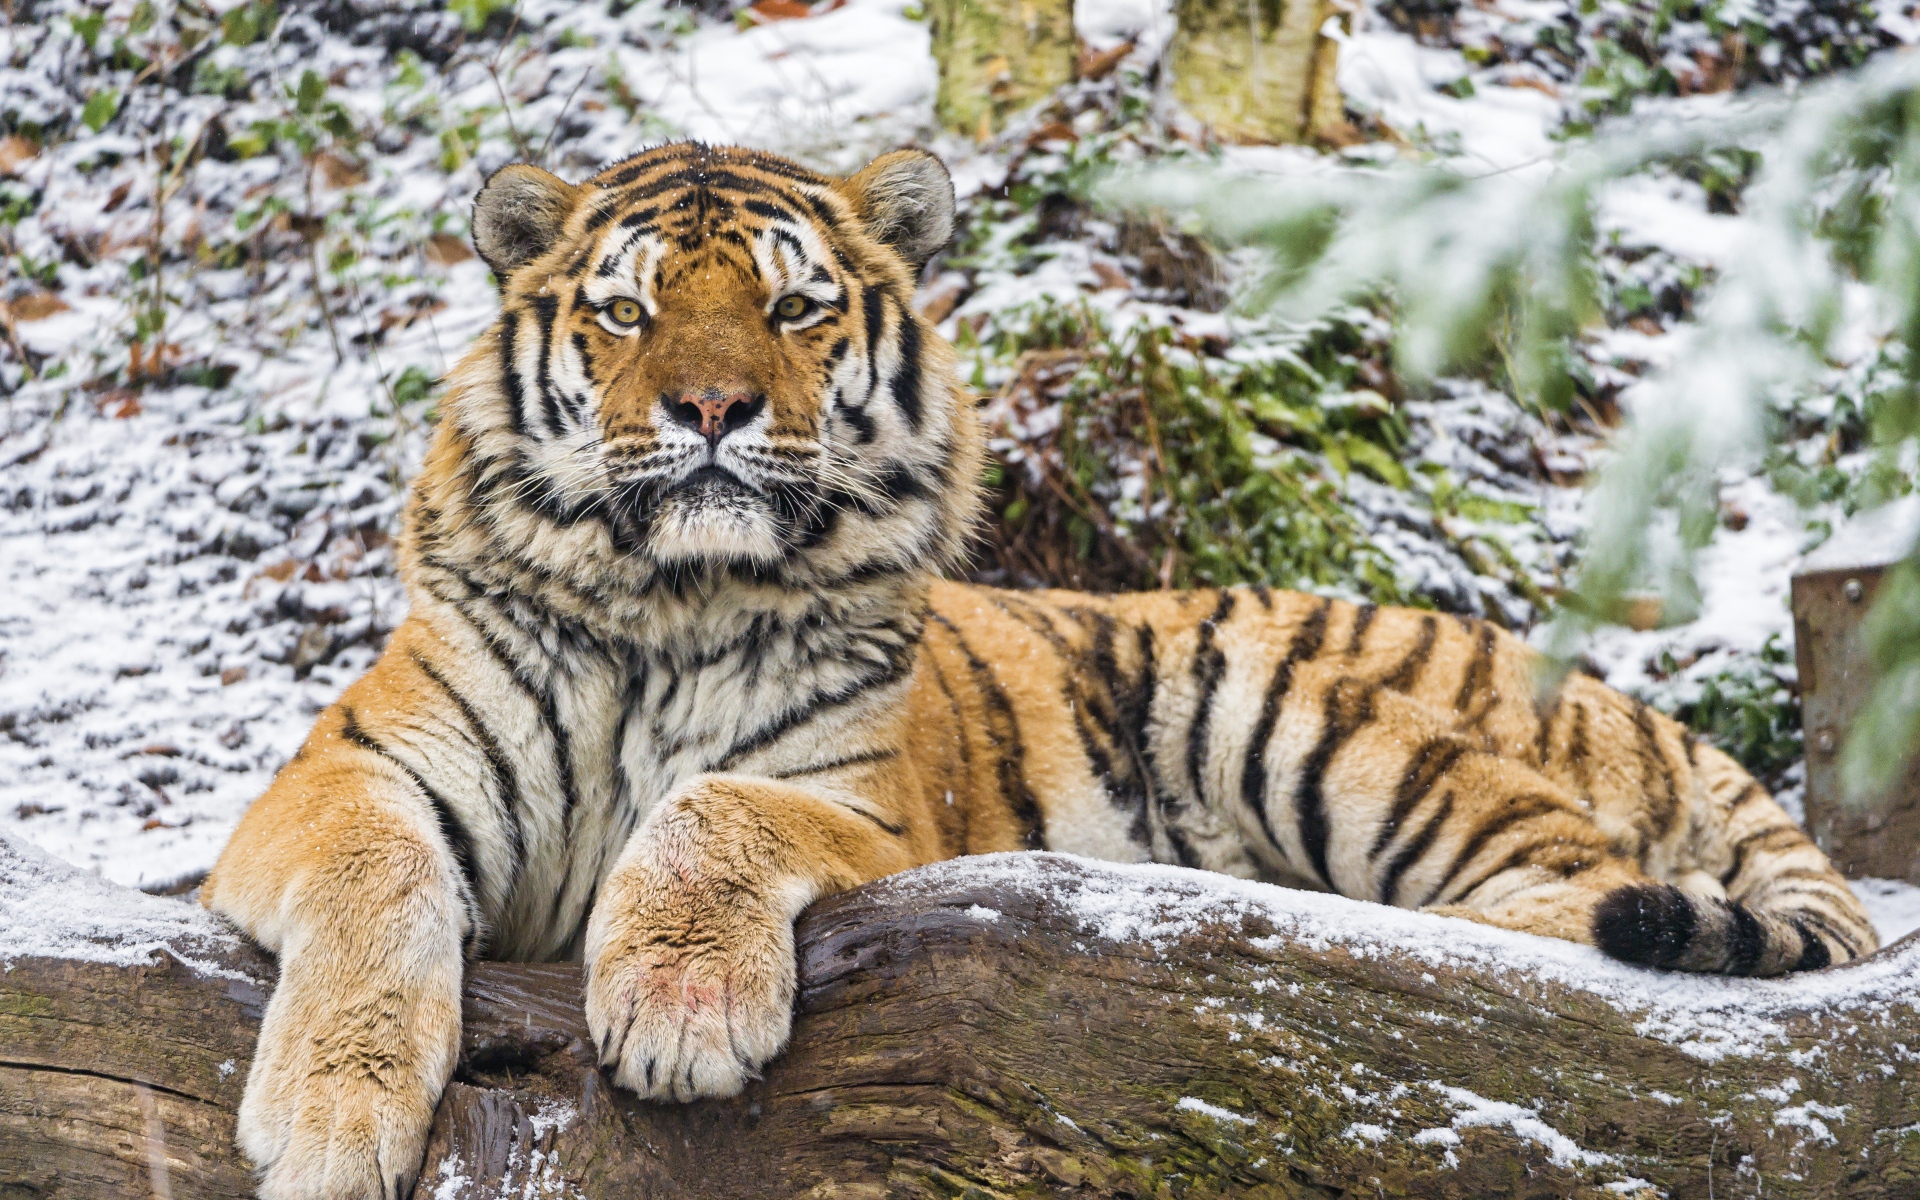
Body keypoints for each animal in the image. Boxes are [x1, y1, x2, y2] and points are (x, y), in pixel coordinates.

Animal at [201, 141, 1877, 1200]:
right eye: (626, 310)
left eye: (795, 305)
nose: (713, 407)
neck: (673, 601)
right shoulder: (346, 778)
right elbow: (378, 881)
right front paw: (331, 1119)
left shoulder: (867, 807)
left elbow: (706, 812)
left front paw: (678, 1011)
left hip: (1302, 712)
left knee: (1558, 911)